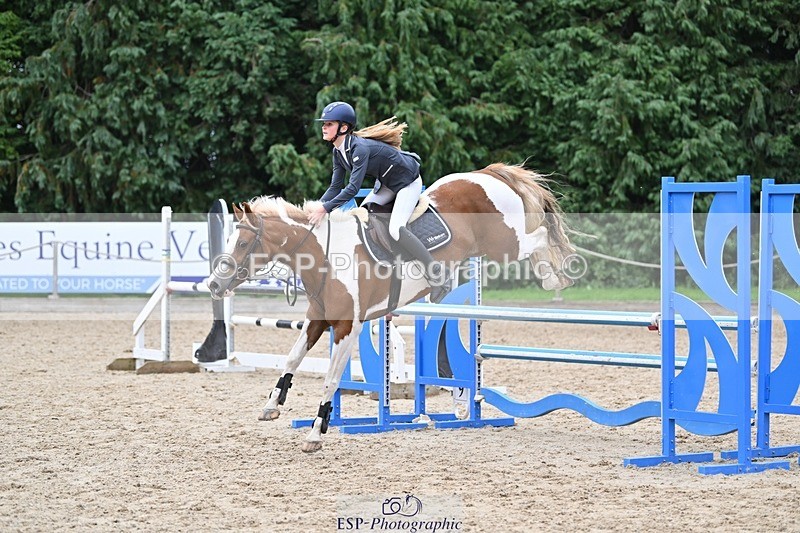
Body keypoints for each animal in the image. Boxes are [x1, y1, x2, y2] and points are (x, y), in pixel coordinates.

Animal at [206, 163, 574, 452]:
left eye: (242, 243)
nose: (213, 285)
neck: (324, 254)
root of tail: (486, 174)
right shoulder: (318, 319)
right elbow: (292, 358)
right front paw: (272, 405)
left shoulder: (346, 327)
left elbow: (330, 379)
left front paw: (316, 432)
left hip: (505, 244)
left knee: (540, 235)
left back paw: (555, 276)